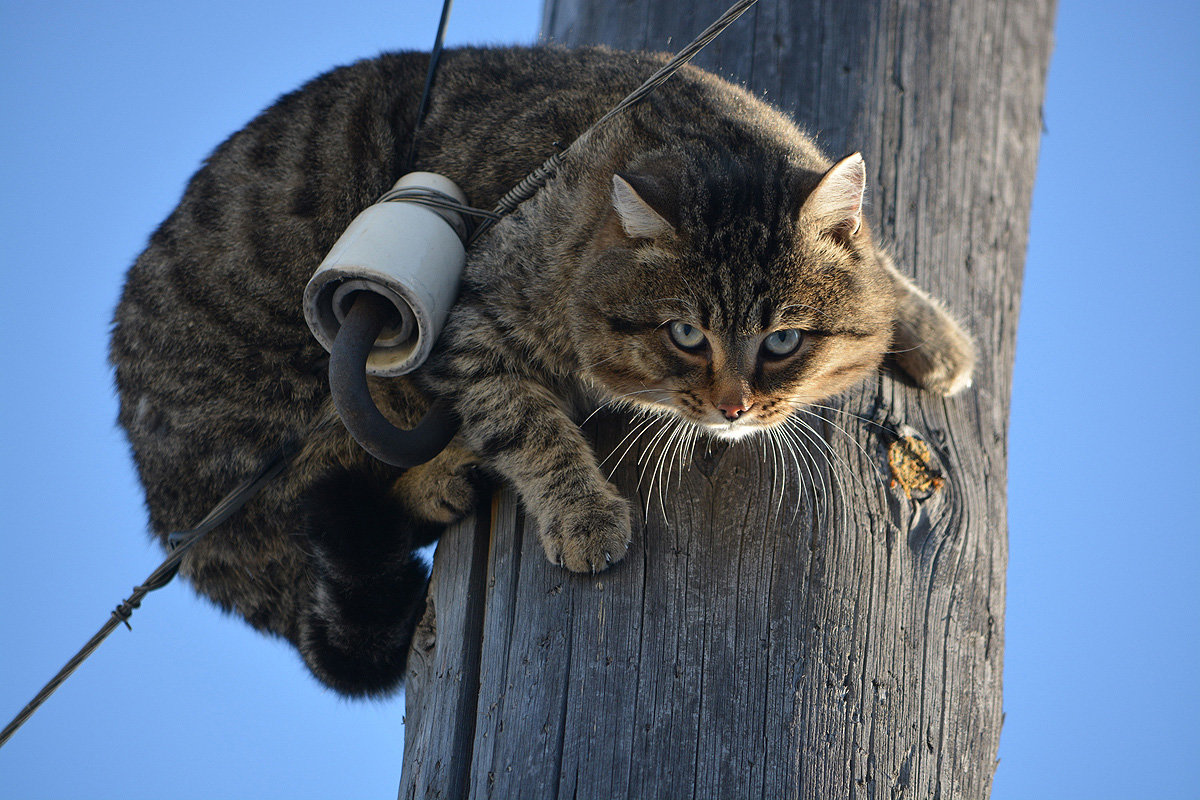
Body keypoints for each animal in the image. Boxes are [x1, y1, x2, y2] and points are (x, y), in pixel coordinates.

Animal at [110, 45, 974, 695]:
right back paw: (441, 475)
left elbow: (884, 276)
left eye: (785, 340)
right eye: (685, 334)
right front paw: (583, 514)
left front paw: (934, 336)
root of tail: (173, 520)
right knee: (324, 497)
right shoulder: (470, 324)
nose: (734, 407)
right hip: (301, 405)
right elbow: (529, 427)